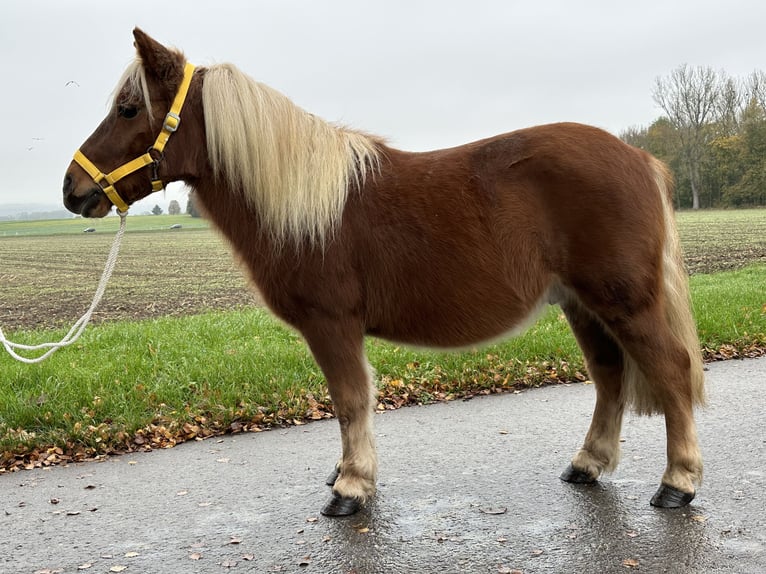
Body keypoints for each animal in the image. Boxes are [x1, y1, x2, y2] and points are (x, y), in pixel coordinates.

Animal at [63, 29, 704, 520]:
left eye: (128, 109)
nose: (72, 189)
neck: (306, 205)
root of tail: (639, 158)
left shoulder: (332, 324)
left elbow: (350, 401)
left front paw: (351, 488)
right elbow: (349, 404)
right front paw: (347, 473)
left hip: (626, 302)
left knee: (670, 372)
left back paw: (678, 483)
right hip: (583, 304)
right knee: (609, 375)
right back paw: (587, 464)